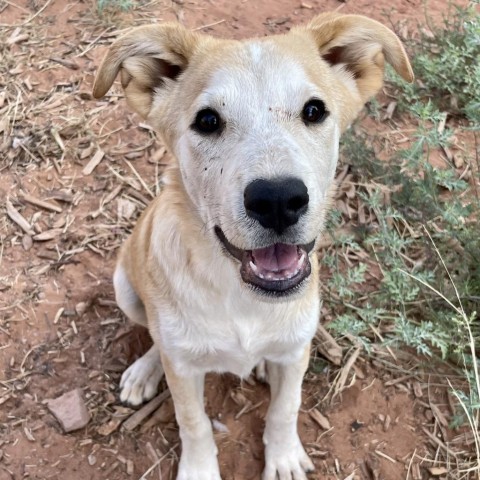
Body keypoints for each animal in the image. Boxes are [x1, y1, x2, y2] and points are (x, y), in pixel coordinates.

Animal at [94, 15, 412, 480]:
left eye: (314, 111)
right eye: (208, 120)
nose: (278, 200)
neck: (241, 297)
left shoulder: (297, 349)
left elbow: (286, 406)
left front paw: (283, 458)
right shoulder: (184, 372)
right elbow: (192, 422)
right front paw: (199, 470)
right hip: (125, 288)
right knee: (155, 338)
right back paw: (145, 371)